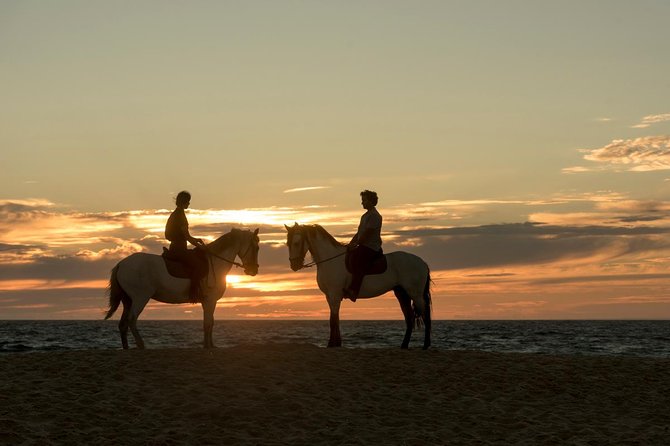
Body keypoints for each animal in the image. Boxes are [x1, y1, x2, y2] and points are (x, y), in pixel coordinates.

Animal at [105, 230, 260, 348]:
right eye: (256, 247)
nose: (253, 270)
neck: (215, 263)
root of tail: (121, 264)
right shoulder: (210, 301)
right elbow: (208, 323)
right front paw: (207, 346)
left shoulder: (208, 302)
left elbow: (210, 323)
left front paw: (210, 345)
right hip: (140, 298)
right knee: (132, 319)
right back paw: (141, 344)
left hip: (128, 300)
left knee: (123, 324)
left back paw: (126, 347)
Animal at [286, 223, 434, 348]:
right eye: (287, 243)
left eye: (296, 243)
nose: (294, 265)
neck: (330, 260)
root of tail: (422, 262)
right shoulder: (330, 296)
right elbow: (335, 319)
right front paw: (336, 343)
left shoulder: (334, 295)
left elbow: (333, 320)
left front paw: (332, 344)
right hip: (402, 293)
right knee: (409, 318)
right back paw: (404, 345)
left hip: (415, 294)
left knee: (426, 315)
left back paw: (425, 345)